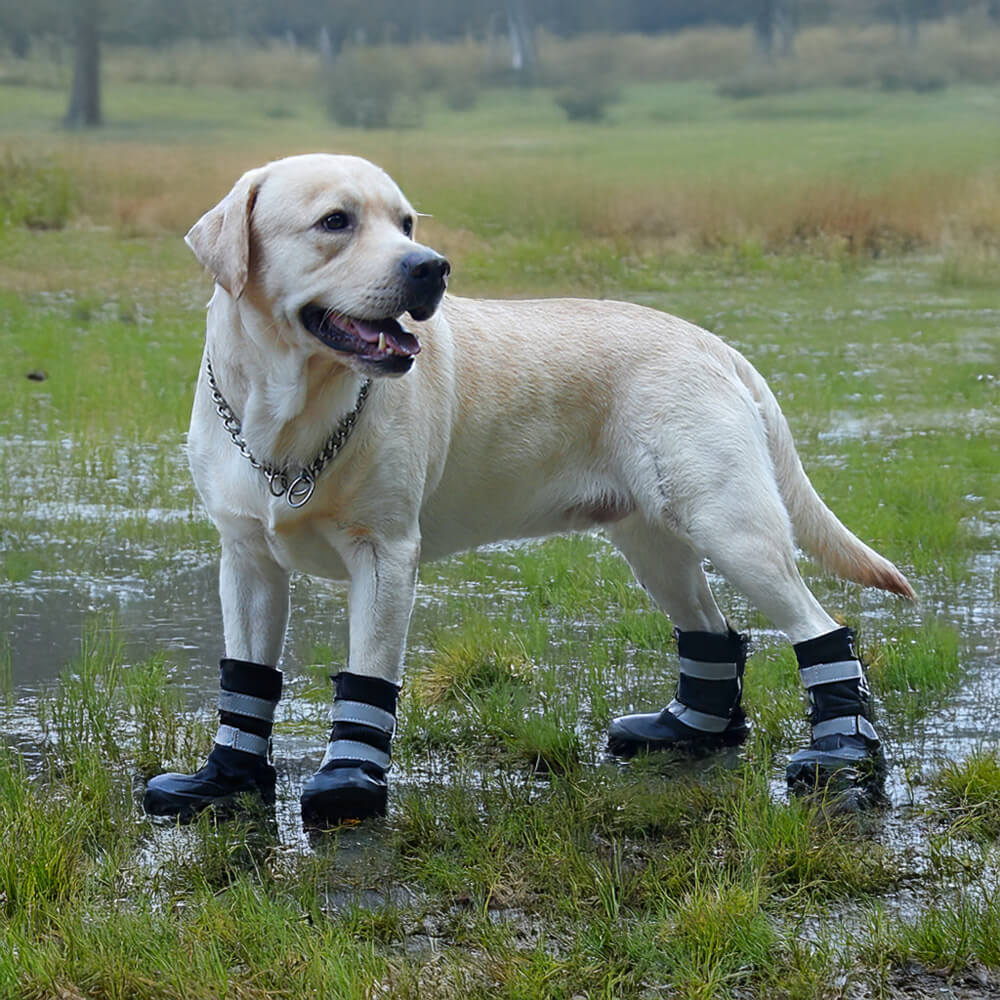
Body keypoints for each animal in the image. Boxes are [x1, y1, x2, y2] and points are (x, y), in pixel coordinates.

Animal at [143, 154, 916, 828]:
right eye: (335, 221)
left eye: (407, 222)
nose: (431, 267)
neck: (289, 408)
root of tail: (713, 344)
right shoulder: (247, 560)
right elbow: (246, 679)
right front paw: (225, 781)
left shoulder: (384, 556)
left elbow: (368, 679)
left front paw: (348, 782)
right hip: (656, 543)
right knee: (712, 633)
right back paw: (685, 732)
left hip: (733, 528)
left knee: (821, 632)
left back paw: (844, 758)